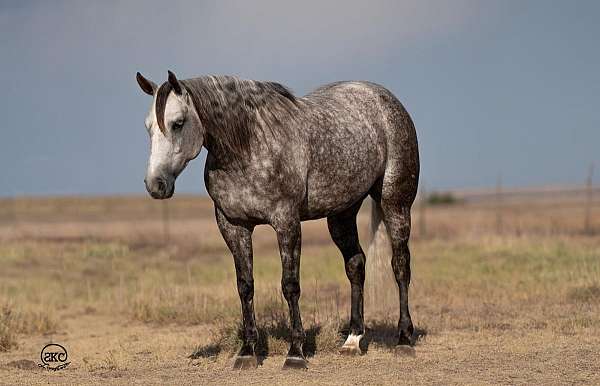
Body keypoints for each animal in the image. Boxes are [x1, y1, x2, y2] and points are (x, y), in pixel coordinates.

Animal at [136, 71, 420, 370]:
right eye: (148, 128)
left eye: (178, 123)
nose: (155, 184)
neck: (248, 147)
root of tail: (384, 98)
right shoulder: (233, 226)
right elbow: (245, 286)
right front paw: (247, 351)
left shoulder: (286, 222)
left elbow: (290, 285)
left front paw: (295, 353)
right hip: (342, 213)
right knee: (356, 265)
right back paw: (353, 340)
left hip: (395, 203)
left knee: (400, 265)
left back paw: (403, 339)